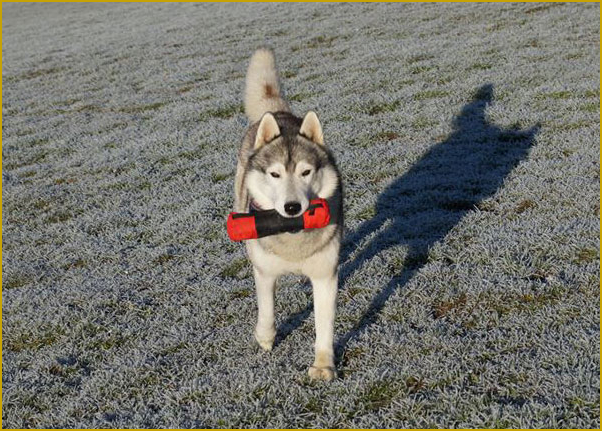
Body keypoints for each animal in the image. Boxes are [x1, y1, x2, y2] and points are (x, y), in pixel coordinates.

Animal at [232, 49, 340, 382]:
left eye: (306, 172)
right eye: (275, 174)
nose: (292, 208)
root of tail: (277, 112)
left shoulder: (325, 275)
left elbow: (324, 326)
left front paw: (323, 365)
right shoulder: (265, 272)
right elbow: (266, 309)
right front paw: (265, 337)